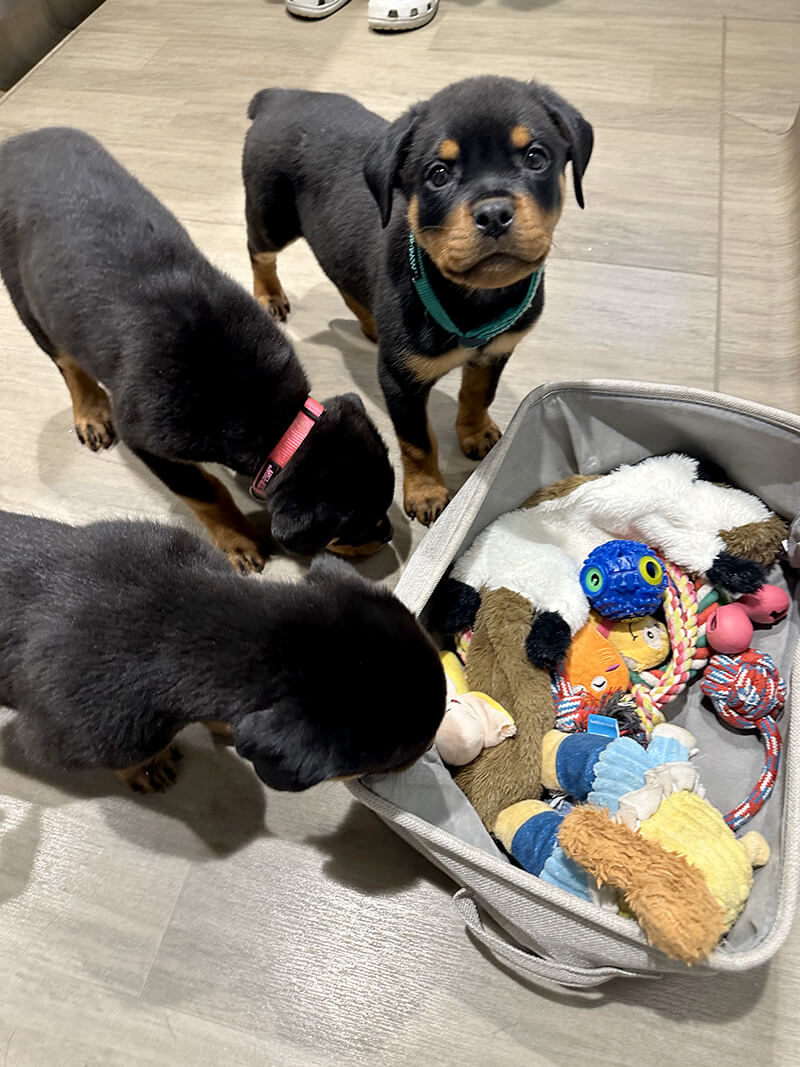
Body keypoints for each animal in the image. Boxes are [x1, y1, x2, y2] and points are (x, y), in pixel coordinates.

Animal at [0, 129, 396, 571]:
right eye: (356, 526)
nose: (388, 534)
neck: (277, 422)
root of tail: (16, 145)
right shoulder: (146, 438)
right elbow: (204, 492)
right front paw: (240, 539)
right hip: (26, 296)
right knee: (66, 362)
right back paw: (90, 412)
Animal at [241, 76, 593, 524]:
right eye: (437, 174)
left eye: (536, 157)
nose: (494, 213)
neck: (473, 297)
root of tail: (279, 96)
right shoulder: (399, 381)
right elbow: (416, 441)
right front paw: (426, 493)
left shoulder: (497, 350)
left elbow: (478, 394)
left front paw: (475, 433)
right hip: (272, 214)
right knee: (259, 251)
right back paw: (269, 294)